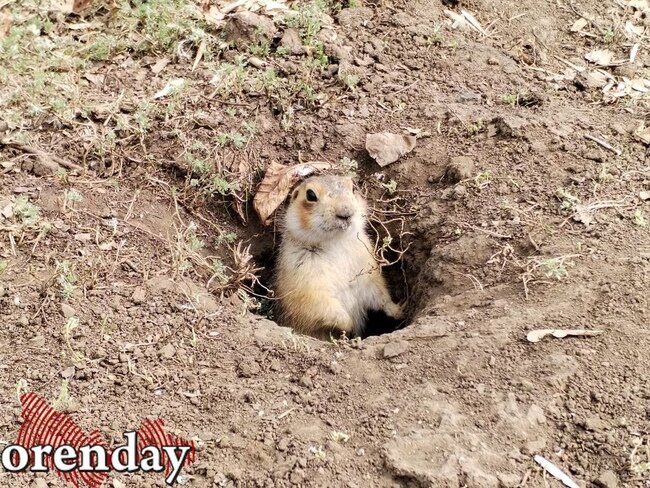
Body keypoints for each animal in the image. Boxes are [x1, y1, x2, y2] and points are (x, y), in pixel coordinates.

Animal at [272, 175, 400, 340]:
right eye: (310, 195)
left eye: (354, 188)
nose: (346, 212)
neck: (335, 242)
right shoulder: (301, 275)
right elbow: (316, 303)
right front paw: (348, 326)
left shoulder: (368, 267)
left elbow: (378, 293)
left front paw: (398, 309)